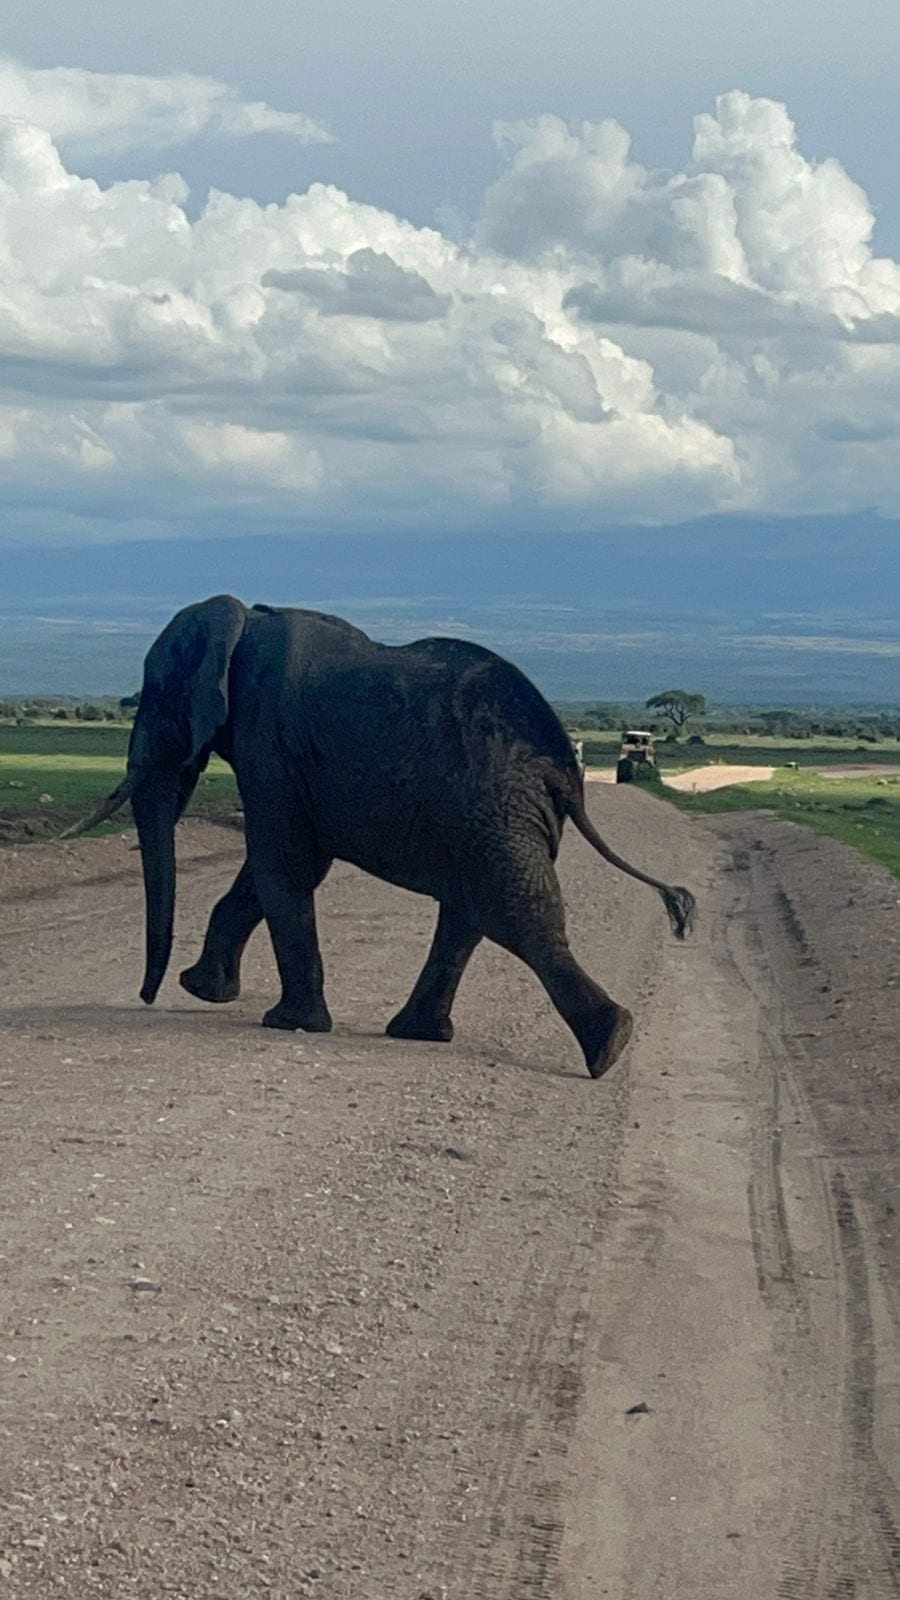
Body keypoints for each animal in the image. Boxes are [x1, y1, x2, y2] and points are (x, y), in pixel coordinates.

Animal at [67, 596, 695, 1079]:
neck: (244, 621)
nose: (147, 997)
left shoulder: (269, 742)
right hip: (494, 817)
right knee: (471, 912)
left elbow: (283, 865)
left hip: (490, 807)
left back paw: (610, 1044)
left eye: (157, 695)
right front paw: (205, 991)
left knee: (510, 913)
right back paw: (425, 1034)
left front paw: (284, 1023)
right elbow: (277, 869)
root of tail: (565, 770)